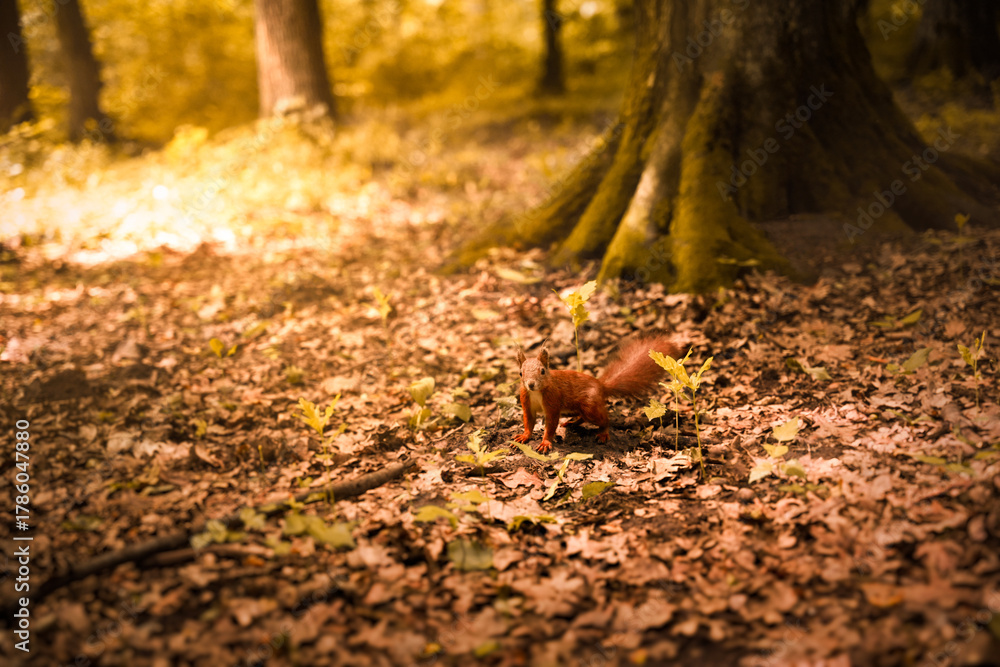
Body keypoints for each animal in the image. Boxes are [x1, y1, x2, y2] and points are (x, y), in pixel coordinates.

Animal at [514, 334, 681, 453]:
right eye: (520, 373)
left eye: (542, 371)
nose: (531, 384)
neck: (536, 392)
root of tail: (601, 386)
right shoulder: (526, 401)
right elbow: (528, 421)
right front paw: (524, 436)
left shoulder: (552, 401)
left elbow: (550, 425)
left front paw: (545, 442)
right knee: (582, 417)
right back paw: (572, 422)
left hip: (590, 405)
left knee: (604, 419)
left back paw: (603, 433)